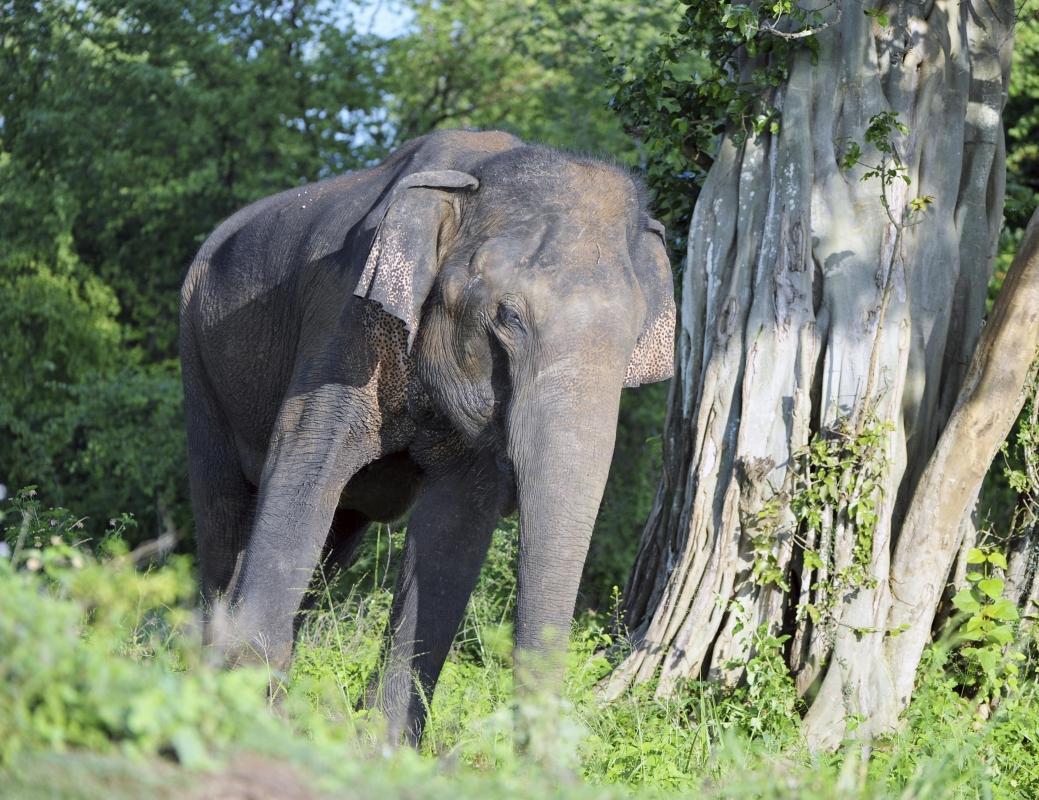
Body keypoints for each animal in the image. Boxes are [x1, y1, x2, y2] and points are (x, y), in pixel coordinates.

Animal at [180, 127, 673, 739]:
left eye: (633, 340)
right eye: (508, 318)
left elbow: (452, 526)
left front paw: (379, 747)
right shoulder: (345, 321)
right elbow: (304, 468)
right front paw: (255, 725)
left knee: (329, 548)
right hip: (198, 361)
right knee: (224, 516)